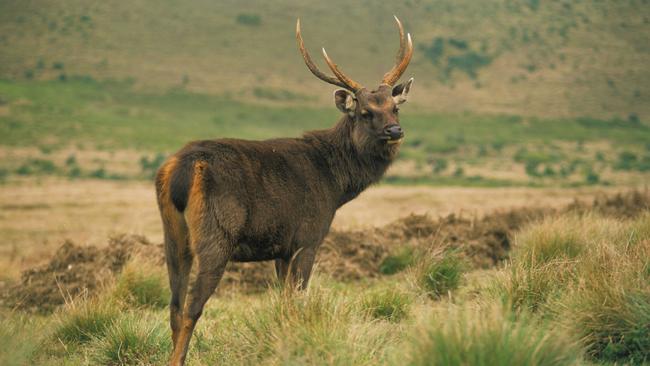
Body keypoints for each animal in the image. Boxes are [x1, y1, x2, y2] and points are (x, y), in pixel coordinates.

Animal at [154, 16, 412, 364]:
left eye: (394, 108)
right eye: (365, 112)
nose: (395, 130)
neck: (335, 185)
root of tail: (182, 168)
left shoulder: (282, 248)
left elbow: (284, 304)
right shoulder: (308, 237)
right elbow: (298, 300)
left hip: (172, 234)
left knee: (174, 304)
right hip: (215, 234)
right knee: (192, 307)